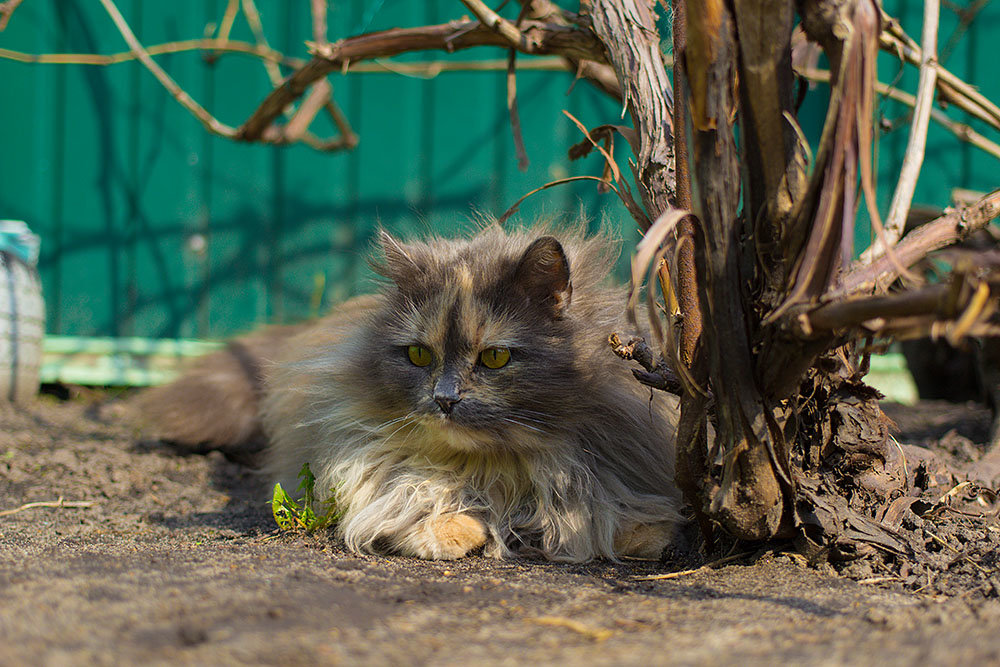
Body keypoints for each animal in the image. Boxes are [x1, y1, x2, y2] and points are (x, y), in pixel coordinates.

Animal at [141, 226, 684, 564]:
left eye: (495, 358)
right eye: (420, 355)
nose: (445, 400)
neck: (499, 466)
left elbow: (599, 509)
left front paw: (649, 533)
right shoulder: (368, 471)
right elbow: (417, 497)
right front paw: (457, 530)